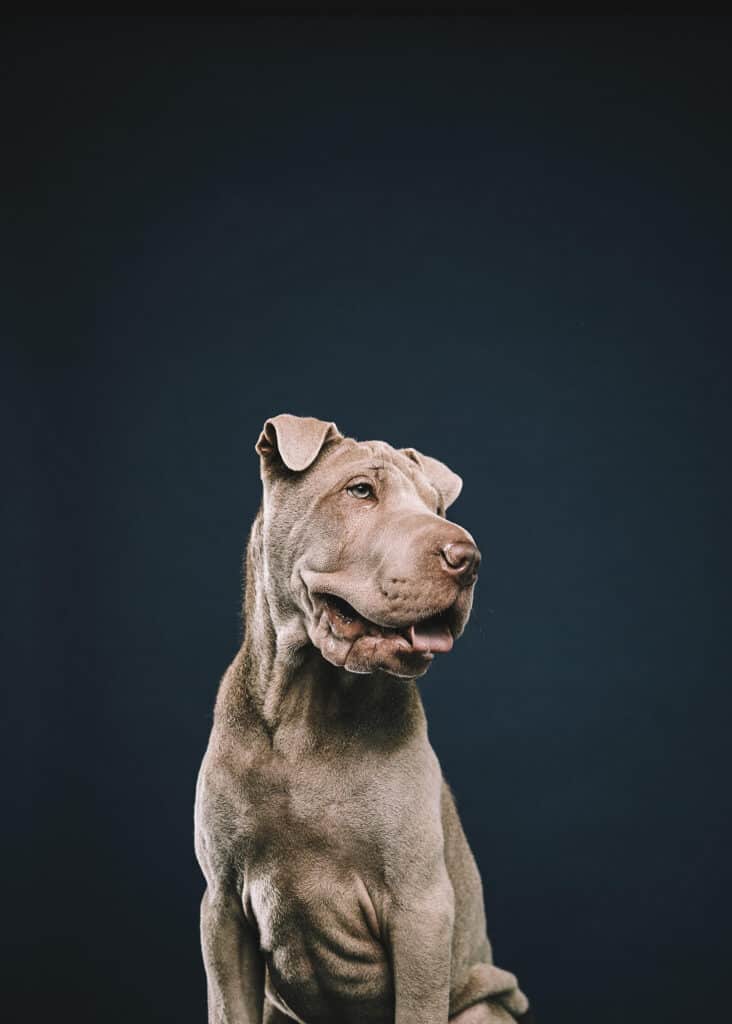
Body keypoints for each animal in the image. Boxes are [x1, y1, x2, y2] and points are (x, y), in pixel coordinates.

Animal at [194, 411, 532, 1019]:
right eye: (360, 491)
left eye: (436, 506)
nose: (466, 558)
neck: (308, 715)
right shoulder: (223, 910)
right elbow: (228, 1005)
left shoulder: (421, 910)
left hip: (482, 1002)